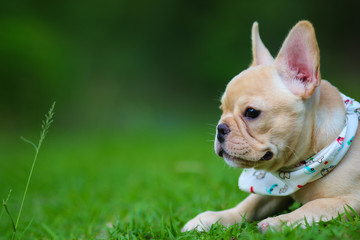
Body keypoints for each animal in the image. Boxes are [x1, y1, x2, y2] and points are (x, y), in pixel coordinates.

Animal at [183, 20, 360, 232]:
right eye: (222, 109)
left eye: (251, 112)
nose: (220, 129)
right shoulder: (273, 193)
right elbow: (249, 204)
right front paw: (211, 218)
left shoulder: (350, 201)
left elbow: (315, 206)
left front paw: (279, 222)